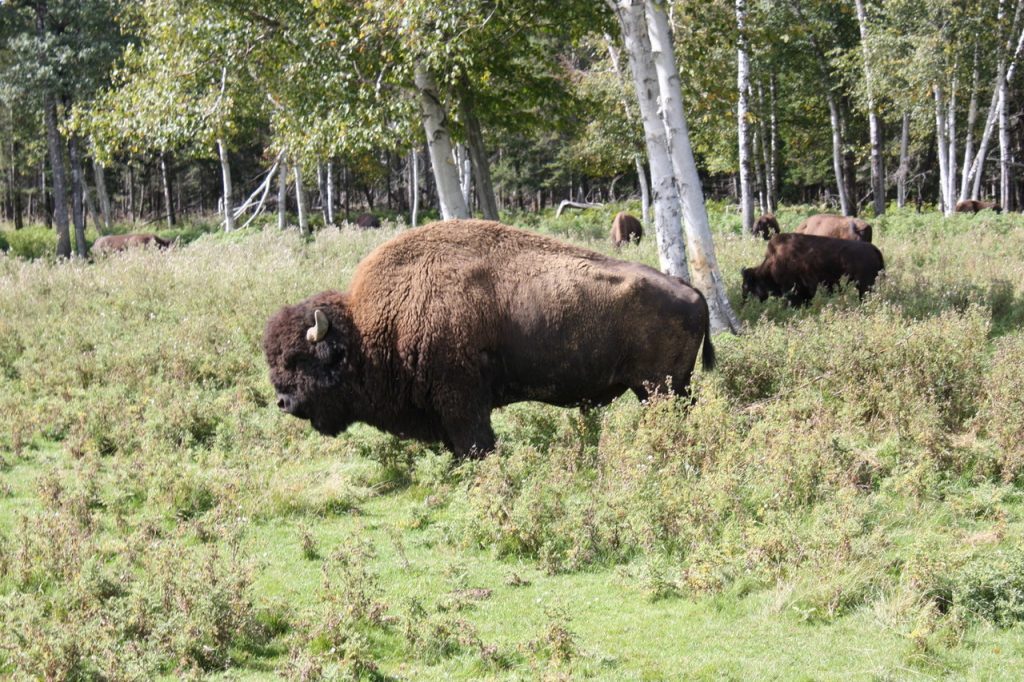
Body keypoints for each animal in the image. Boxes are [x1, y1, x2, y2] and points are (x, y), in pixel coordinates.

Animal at [264, 220, 712, 458]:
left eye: (300, 359)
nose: (283, 403)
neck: (370, 326)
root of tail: (689, 290)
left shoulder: (462, 401)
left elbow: (475, 442)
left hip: (660, 388)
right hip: (662, 389)